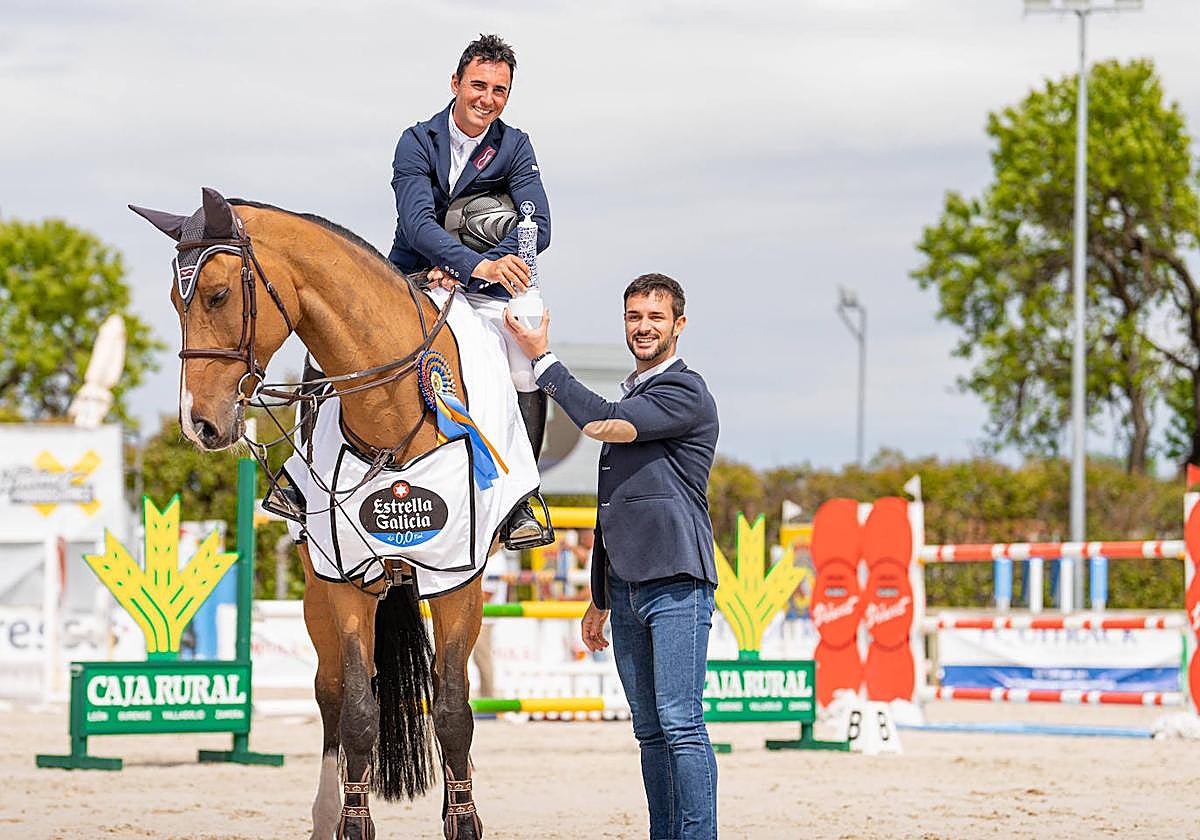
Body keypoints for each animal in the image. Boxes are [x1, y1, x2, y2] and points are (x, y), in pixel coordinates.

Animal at [132, 187, 487, 840]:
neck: (392, 411)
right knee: (331, 693)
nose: (199, 424)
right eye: (174, 300)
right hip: (317, 591)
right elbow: (358, 711)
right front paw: (351, 822)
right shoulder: (345, 581)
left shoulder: (460, 581)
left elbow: (453, 708)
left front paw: (464, 820)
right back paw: (326, 814)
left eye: (217, 294)